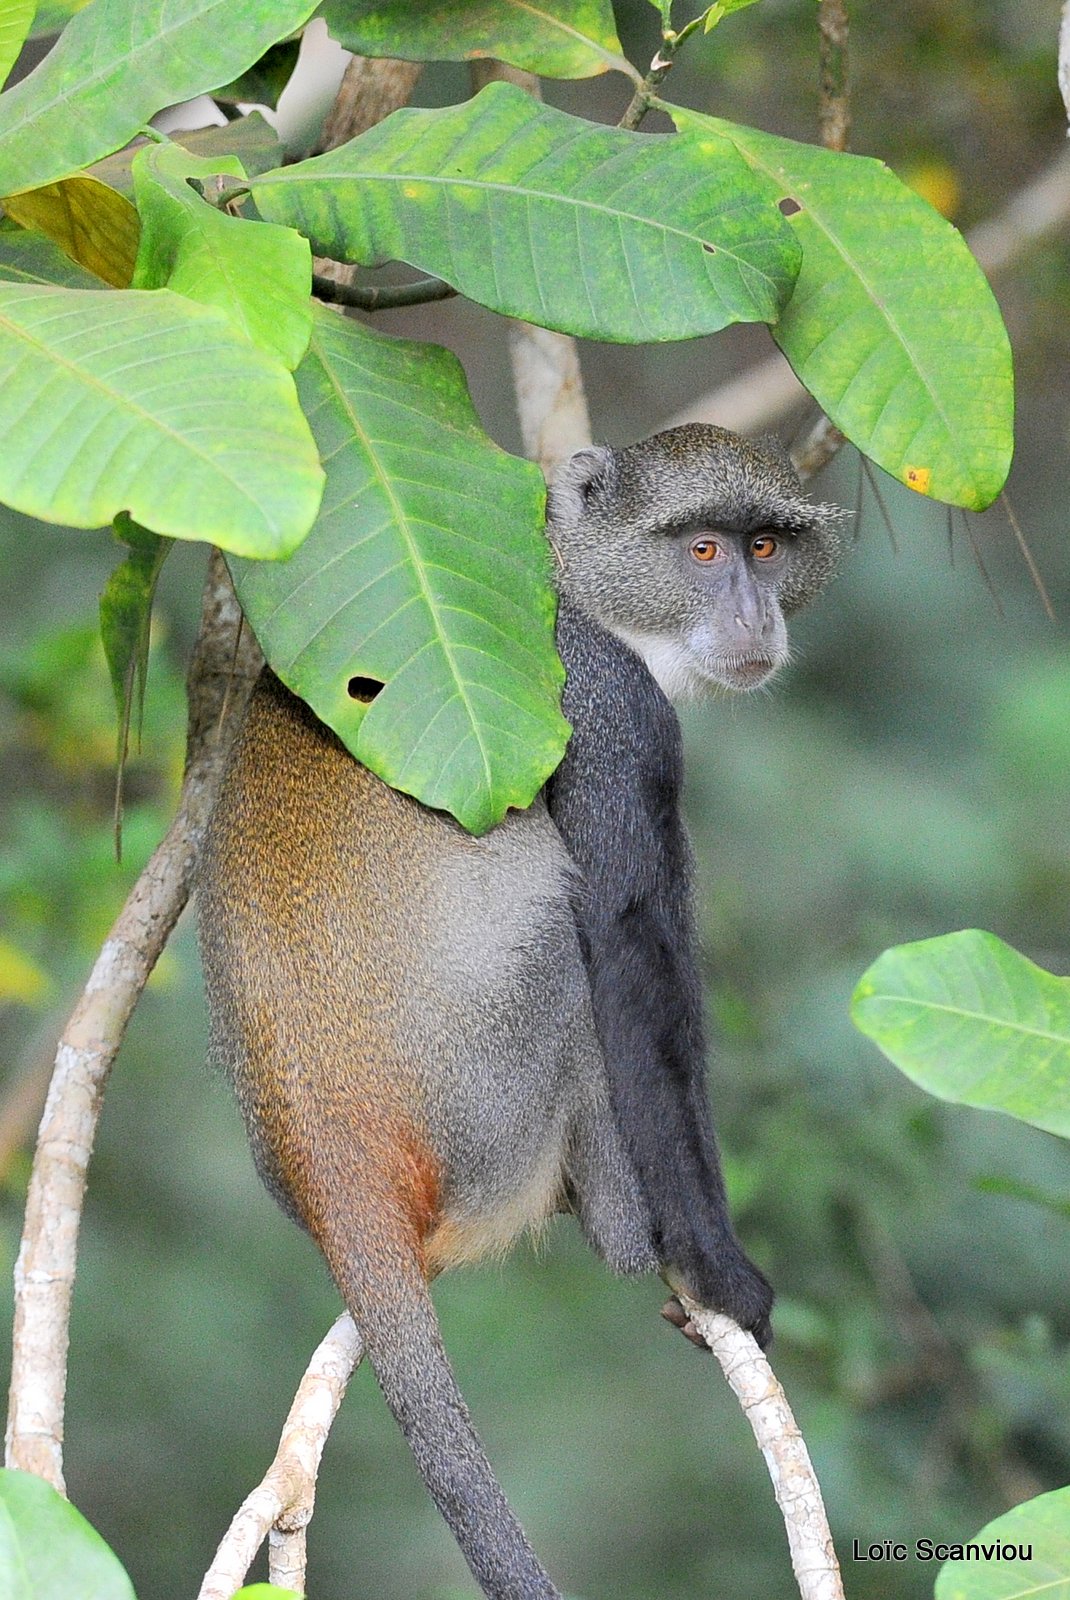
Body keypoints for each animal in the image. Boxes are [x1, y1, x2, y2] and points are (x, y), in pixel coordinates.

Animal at [194, 425, 844, 1600]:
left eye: (766, 547)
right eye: (702, 549)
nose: (753, 616)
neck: (572, 579)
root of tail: (331, 1162)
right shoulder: (610, 712)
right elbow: (634, 948)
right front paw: (715, 1268)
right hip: (492, 1111)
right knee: (562, 936)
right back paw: (626, 1224)